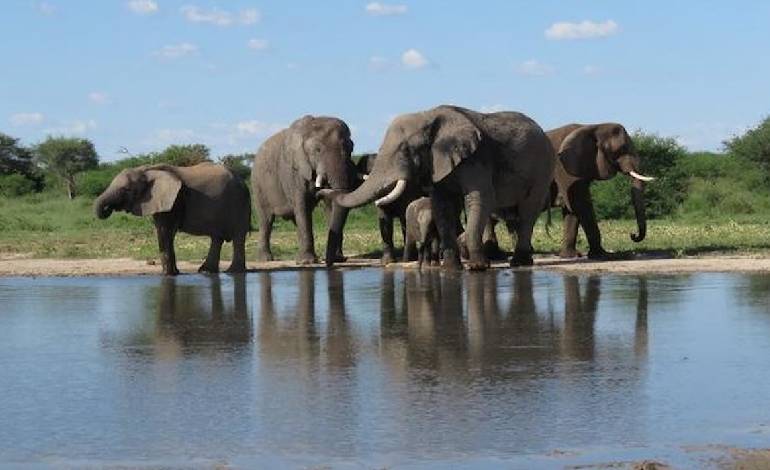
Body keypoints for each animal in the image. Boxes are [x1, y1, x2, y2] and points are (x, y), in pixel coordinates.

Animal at [95, 163, 250, 275]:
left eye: (126, 190)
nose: (108, 209)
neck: (147, 170)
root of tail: (243, 181)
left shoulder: (173, 201)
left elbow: (165, 231)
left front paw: (167, 275)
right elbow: (166, 233)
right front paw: (174, 273)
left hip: (239, 202)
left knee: (238, 237)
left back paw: (233, 272)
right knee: (217, 238)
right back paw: (206, 271)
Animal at [252, 115, 355, 266]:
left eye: (350, 149)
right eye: (318, 150)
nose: (328, 261)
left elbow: (330, 205)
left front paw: (338, 259)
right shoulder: (294, 171)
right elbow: (302, 205)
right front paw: (307, 262)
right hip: (258, 185)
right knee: (266, 220)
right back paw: (265, 259)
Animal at [328, 105, 555, 270]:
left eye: (405, 149)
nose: (326, 188)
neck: (428, 116)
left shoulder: (476, 159)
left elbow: (479, 198)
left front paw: (477, 268)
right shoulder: (437, 164)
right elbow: (441, 205)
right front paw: (451, 269)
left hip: (542, 168)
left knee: (528, 210)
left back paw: (518, 263)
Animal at [548, 123, 654, 259]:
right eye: (621, 150)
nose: (633, 235)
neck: (593, 127)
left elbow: (571, 210)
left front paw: (571, 256)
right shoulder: (564, 168)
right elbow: (580, 204)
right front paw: (602, 255)